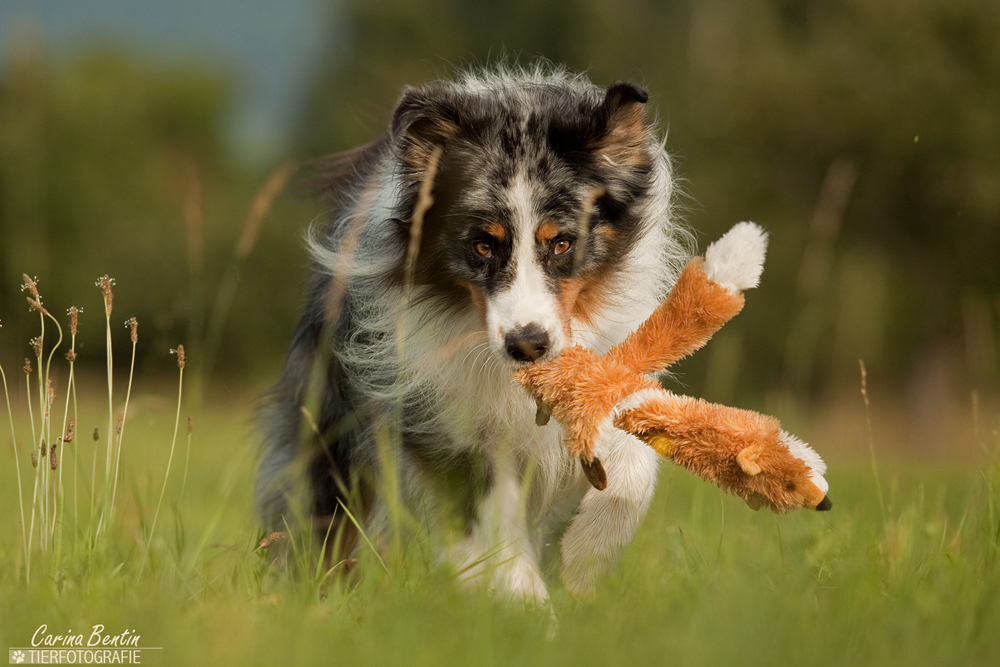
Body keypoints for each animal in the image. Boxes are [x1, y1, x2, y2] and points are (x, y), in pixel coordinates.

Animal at [258, 65, 696, 604]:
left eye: (563, 243)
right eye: (484, 245)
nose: (527, 345)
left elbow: (632, 469)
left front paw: (581, 561)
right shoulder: (441, 418)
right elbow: (490, 518)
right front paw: (525, 604)